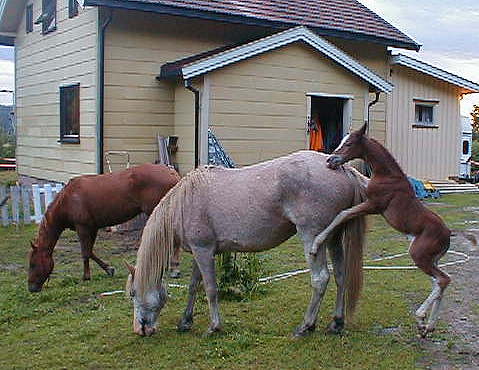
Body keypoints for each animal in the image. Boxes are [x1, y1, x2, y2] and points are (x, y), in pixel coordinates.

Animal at [28, 164, 182, 292]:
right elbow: (90, 252)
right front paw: (108, 269)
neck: (68, 199)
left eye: (33, 264)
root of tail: (171, 172)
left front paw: (87, 276)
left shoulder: (82, 228)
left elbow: (85, 253)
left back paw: (173, 268)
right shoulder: (93, 228)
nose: (31, 288)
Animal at [312, 124, 454, 338]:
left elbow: (343, 213)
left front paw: (316, 243)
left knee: (443, 280)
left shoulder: (373, 204)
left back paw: (421, 317)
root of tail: (448, 235)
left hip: (419, 255)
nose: (331, 160)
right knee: (439, 282)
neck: (388, 176)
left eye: (349, 143)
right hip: (432, 259)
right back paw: (427, 326)